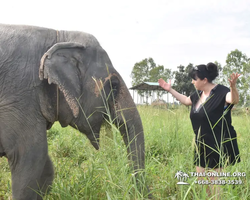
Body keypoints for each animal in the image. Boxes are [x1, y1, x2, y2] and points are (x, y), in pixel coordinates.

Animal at [0, 24, 146, 200]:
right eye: (114, 85)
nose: (138, 192)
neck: (58, 36)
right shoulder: (20, 97)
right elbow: (30, 158)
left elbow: (46, 168)